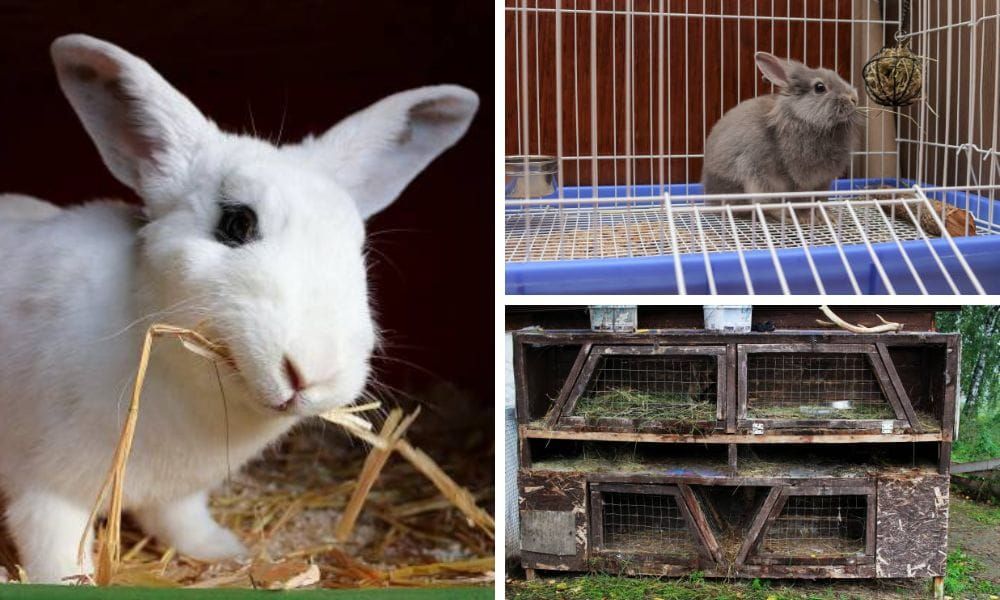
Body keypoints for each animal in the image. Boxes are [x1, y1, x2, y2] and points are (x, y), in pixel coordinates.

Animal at [0, 34, 478, 584]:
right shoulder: (47, 493)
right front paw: (68, 581)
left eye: (357, 246)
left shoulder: (179, 494)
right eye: (237, 224)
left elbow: (181, 520)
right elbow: (56, 551)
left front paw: (223, 551)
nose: (313, 373)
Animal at [702, 52, 861, 222]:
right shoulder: (796, 181)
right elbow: (800, 202)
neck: (802, 118)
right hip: (754, 178)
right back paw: (787, 216)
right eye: (819, 87)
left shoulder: (823, 182)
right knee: (765, 206)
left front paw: (828, 217)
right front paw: (805, 218)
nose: (854, 98)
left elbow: (820, 200)